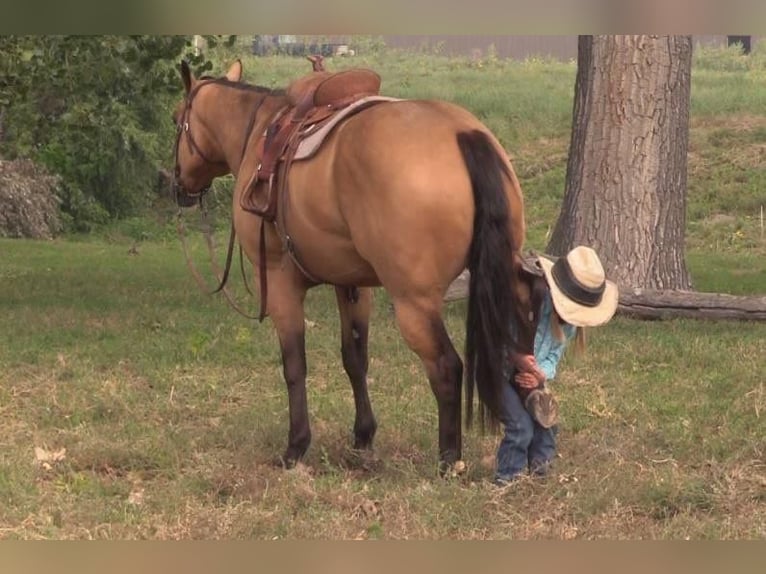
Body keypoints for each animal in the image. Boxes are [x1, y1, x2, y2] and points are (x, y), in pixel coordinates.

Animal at [171, 59, 536, 476]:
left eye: (176, 119)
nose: (176, 183)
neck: (258, 134)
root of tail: (464, 133)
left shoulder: (281, 283)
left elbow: (294, 366)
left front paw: (296, 447)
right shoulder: (353, 285)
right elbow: (355, 360)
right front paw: (363, 438)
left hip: (414, 303)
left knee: (446, 368)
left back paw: (448, 461)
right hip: (504, 281)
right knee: (522, 356)